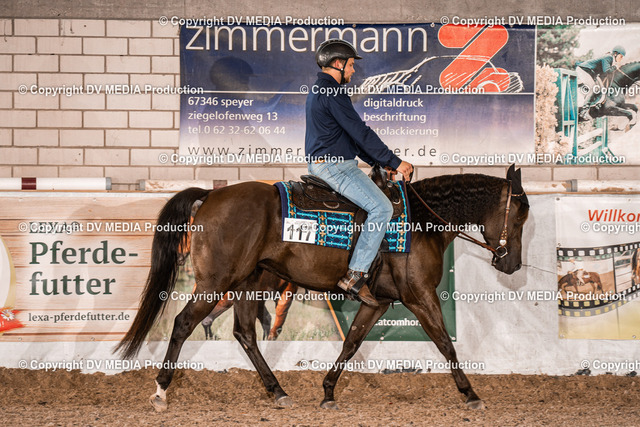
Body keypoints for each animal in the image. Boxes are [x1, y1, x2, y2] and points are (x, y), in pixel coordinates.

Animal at [115, 165, 529, 412]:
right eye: (521, 217)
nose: (511, 264)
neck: (422, 222)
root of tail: (210, 195)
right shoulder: (420, 297)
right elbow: (445, 344)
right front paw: (471, 394)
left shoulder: (377, 302)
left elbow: (352, 342)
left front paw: (328, 391)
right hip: (216, 282)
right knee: (184, 322)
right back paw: (161, 392)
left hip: (248, 284)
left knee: (245, 333)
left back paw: (277, 390)